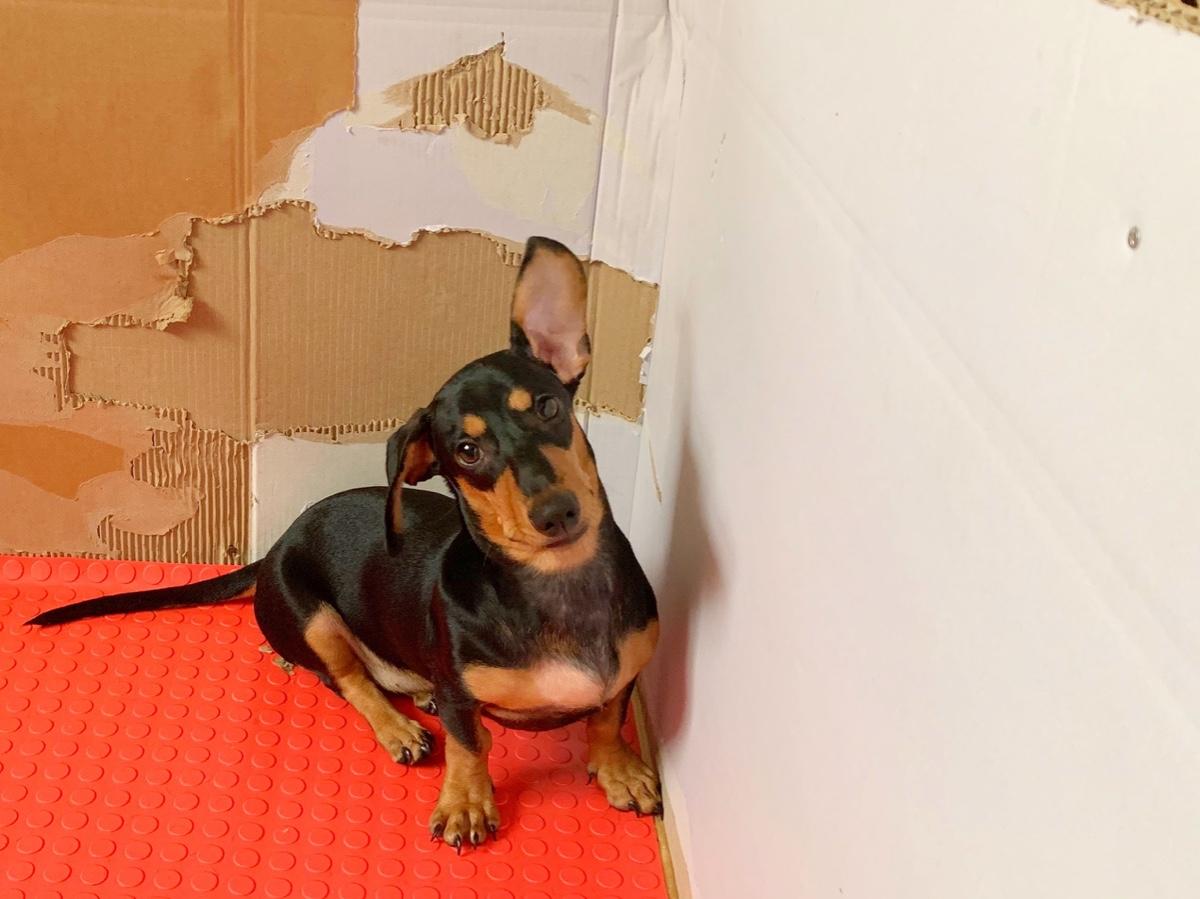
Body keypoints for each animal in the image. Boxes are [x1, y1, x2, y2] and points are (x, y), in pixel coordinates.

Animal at [28, 237, 661, 851]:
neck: (558, 585)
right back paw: (399, 726)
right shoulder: (461, 698)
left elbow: (606, 717)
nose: (557, 513)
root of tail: (275, 546)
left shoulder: (624, 675)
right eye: (467, 452)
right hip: (312, 618)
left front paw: (618, 769)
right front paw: (466, 802)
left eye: (550, 407)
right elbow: (470, 743)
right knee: (348, 680)